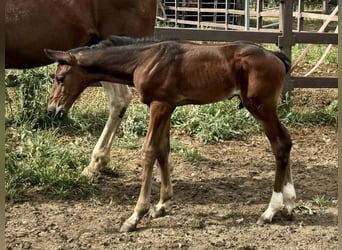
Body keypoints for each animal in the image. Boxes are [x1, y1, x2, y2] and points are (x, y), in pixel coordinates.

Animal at [44, 35, 296, 232]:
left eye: (60, 78)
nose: (52, 111)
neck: (144, 59)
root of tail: (276, 56)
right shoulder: (167, 106)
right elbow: (163, 150)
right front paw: (162, 205)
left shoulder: (160, 105)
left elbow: (149, 152)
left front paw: (135, 216)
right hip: (265, 109)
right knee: (286, 142)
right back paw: (290, 203)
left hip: (261, 108)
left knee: (280, 145)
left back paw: (270, 210)